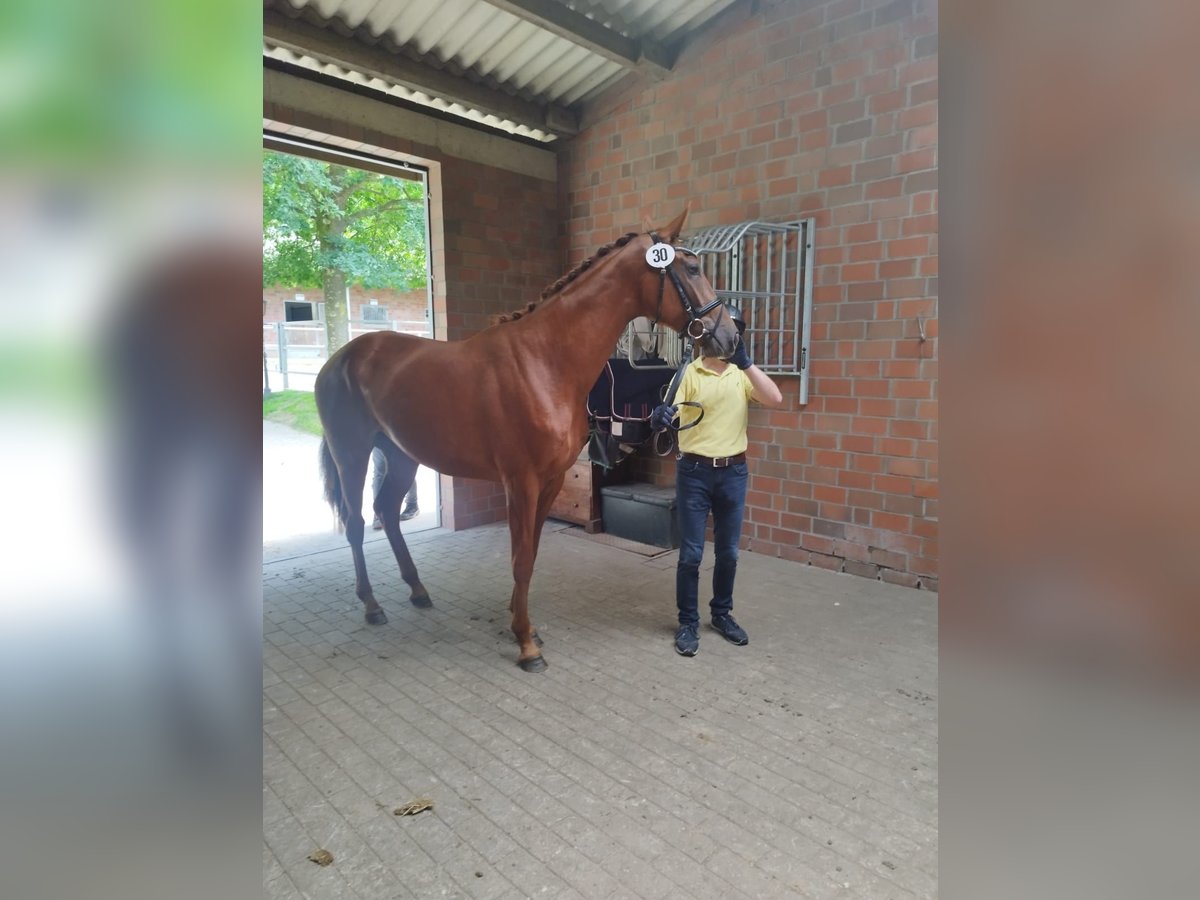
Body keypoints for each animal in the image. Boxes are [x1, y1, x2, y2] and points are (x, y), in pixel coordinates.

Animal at [314, 206, 734, 672]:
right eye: (692, 269)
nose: (730, 335)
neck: (544, 362)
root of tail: (340, 358)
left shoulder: (550, 481)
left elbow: (531, 555)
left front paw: (525, 627)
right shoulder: (521, 483)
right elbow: (519, 560)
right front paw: (526, 645)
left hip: (401, 455)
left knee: (387, 512)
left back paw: (418, 591)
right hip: (351, 454)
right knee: (355, 522)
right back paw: (372, 606)